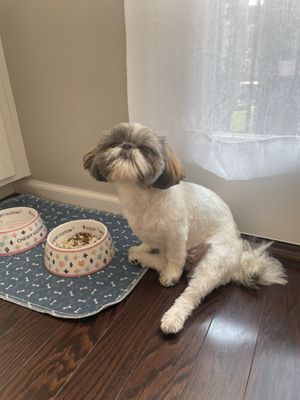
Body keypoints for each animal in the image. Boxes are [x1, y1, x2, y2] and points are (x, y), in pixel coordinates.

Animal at [83, 122, 288, 334]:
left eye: (145, 149)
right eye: (114, 142)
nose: (126, 146)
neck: (142, 197)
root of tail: (238, 262)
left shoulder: (177, 235)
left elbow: (174, 260)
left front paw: (171, 275)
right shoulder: (148, 232)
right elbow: (149, 242)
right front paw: (142, 249)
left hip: (213, 263)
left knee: (191, 292)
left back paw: (173, 316)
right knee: (164, 261)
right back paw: (140, 258)